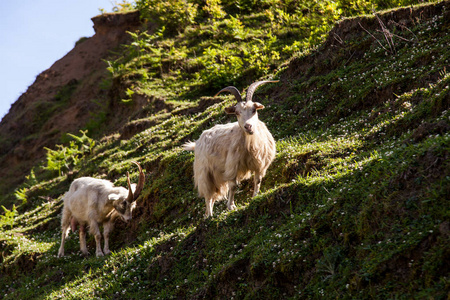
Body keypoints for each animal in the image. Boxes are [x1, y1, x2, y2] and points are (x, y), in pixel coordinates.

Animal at [184, 81, 278, 217]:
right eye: (237, 113)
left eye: (254, 110)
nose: (248, 126)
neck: (251, 144)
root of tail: (197, 142)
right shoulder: (233, 165)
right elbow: (233, 186)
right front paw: (231, 206)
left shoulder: (261, 165)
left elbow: (258, 180)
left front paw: (255, 196)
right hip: (204, 172)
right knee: (208, 195)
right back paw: (210, 215)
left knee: (212, 195)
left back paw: (208, 214)